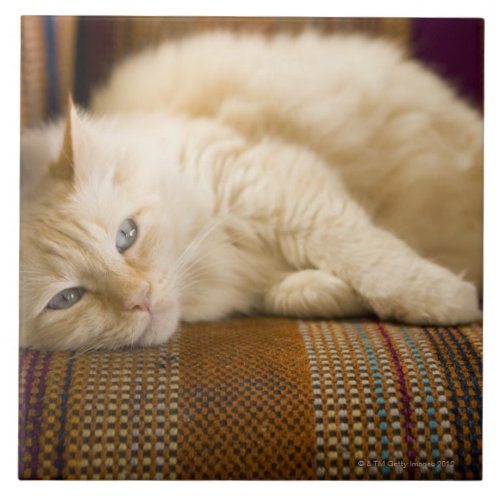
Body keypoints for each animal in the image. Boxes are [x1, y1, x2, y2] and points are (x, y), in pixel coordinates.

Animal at [20, 32, 484, 352]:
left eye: (125, 236)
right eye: (66, 299)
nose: (142, 298)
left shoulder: (271, 185)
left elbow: (371, 259)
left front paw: (451, 301)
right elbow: (295, 293)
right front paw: (332, 291)